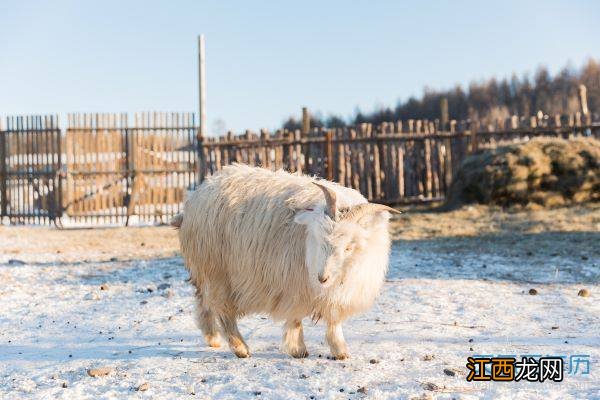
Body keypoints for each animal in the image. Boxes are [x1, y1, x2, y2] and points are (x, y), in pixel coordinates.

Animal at [173, 162, 398, 360]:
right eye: (319, 238)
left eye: (348, 247)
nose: (322, 278)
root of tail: (196, 195)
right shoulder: (293, 283)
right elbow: (296, 316)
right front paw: (299, 348)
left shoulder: (333, 292)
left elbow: (333, 319)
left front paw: (338, 351)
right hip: (218, 273)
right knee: (224, 311)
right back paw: (240, 348)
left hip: (206, 272)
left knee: (203, 302)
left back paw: (212, 338)